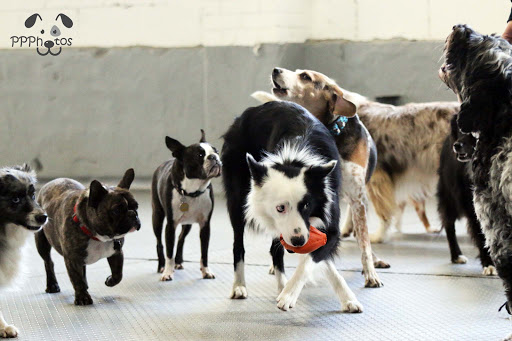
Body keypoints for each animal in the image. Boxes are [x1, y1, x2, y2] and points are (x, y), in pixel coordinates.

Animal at [151, 129, 221, 280]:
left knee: (181, 238)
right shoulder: (170, 225)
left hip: (187, 223)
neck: (192, 190)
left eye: (216, 151)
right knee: (159, 242)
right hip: (157, 217)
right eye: (200, 155)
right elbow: (169, 251)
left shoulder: (205, 225)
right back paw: (161, 266)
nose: (214, 157)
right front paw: (167, 272)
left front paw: (206, 271)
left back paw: (178, 262)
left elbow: (204, 252)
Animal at [222, 100, 362, 310]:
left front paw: (348, 298)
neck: (294, 160)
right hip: (237, 201)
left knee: (275, 250)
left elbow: (314, 259)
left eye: (306, 205)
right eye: (280, 208)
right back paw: (239, 286)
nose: (297, 242)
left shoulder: (329, 222)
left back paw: (282, 286)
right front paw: (288, 295)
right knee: (238, 244)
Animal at [436, 114, 496, 274]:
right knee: (449, 224)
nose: (456, 145)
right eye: (459, 129)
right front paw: (489, 264)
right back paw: (456, 255)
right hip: (449, 195)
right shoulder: (472, 206)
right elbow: (481, 236)